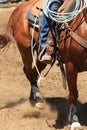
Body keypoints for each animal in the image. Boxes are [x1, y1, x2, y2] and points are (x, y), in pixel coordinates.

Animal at [0, 0, 87, 129]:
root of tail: (19, 7)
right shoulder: (71, 65)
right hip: (25, 50)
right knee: (29, 72)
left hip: (42, 58)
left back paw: (33, 99)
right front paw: (74, 120)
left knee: (33, 73)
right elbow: (73, 93)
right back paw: (38, 98)